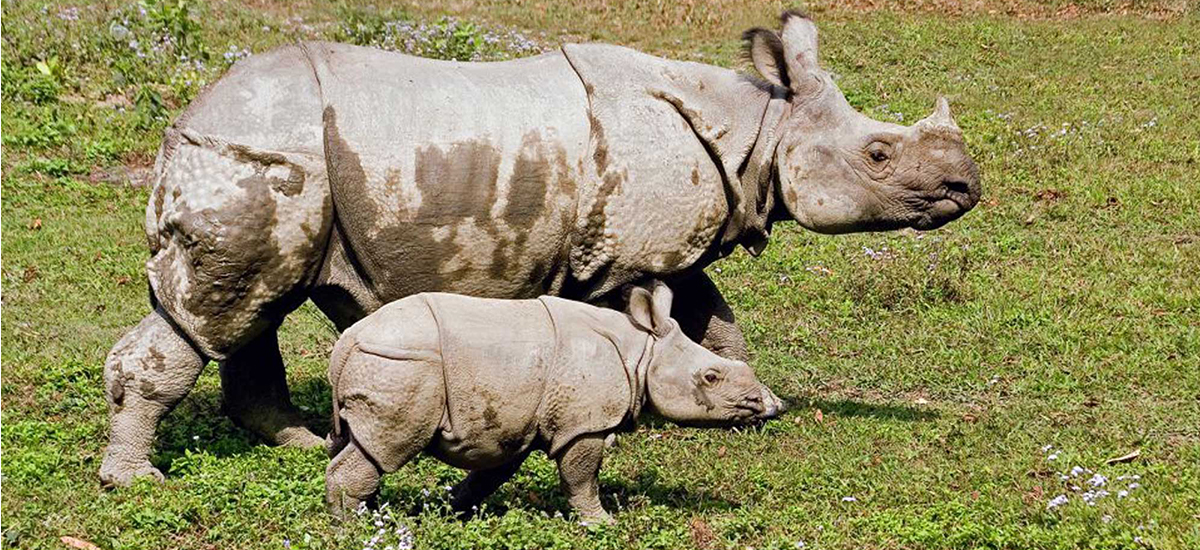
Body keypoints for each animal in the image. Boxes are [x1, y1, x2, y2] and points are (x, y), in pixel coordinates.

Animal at [100, 10, 980, 486]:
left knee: (255, 309)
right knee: (213, 314)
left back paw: (304, 440)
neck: (760, 129)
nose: (966, 186)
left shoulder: (668, 249)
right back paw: (139, 479)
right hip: (257, 158)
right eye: (879, 155)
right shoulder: (627, 255)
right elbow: (647, 326)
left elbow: (714, 321)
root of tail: (187, 116)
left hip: (280, 165)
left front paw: (752, 404)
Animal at [325, 282, 768, 523]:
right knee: (386, 448)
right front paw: (601, 523)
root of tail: (346, 343)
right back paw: (354, 526)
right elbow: (581, 477)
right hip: (402, 365)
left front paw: (449, 509)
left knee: (359, 444)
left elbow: (491, 473)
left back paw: (374, 514)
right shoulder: (583, 423)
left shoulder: (515, 420)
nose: (769, 405)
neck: (641, 351)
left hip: (385, 363)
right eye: (711, 377)